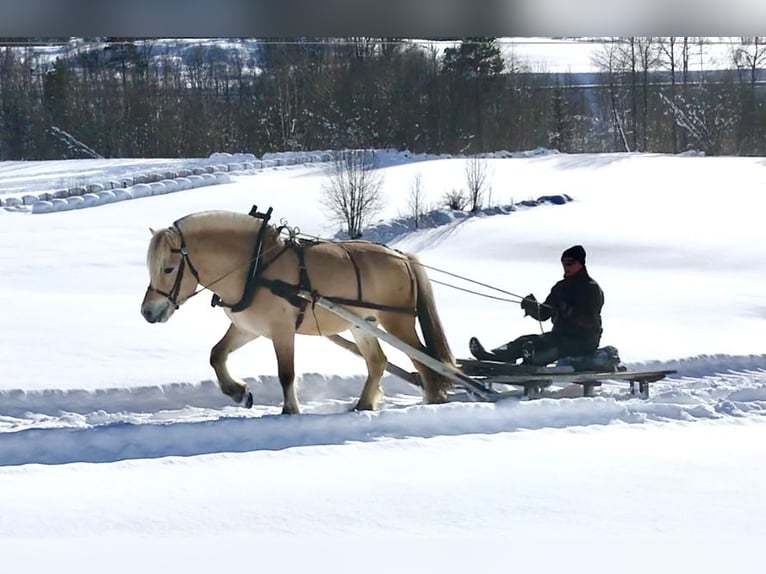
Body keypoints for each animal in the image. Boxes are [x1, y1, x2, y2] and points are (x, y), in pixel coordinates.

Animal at [140, 207, 456, 414]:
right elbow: (216, 355)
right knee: (378, 362)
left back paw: (433, 402)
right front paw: (239, 393)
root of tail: (401, 256)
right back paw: (364, 404)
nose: (147, 312)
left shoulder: (282, 330)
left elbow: (286, 373)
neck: (254, 268)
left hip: (397, 321)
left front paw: (290, 410)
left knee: (425, 361)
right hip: (362, 324)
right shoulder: (247, 328)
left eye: (168, 268)